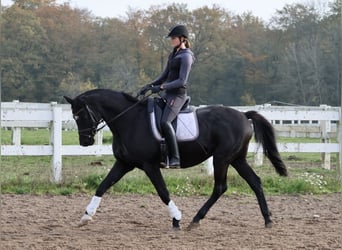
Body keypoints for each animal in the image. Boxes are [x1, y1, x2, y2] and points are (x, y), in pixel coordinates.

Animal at [63, 89, 286, 229]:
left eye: (81, 115)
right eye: (74, 117)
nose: (85, 142)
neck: (130, 120)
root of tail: (243, 115)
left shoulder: (150, 166)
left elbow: (163, 192)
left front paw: (176, 219)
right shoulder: (124, 164)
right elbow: (102, 186)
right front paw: (85, 216)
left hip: (222, 158)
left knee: (220, 187)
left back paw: (195, 220)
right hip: (237, 159)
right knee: (255, 182)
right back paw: (267, 219)